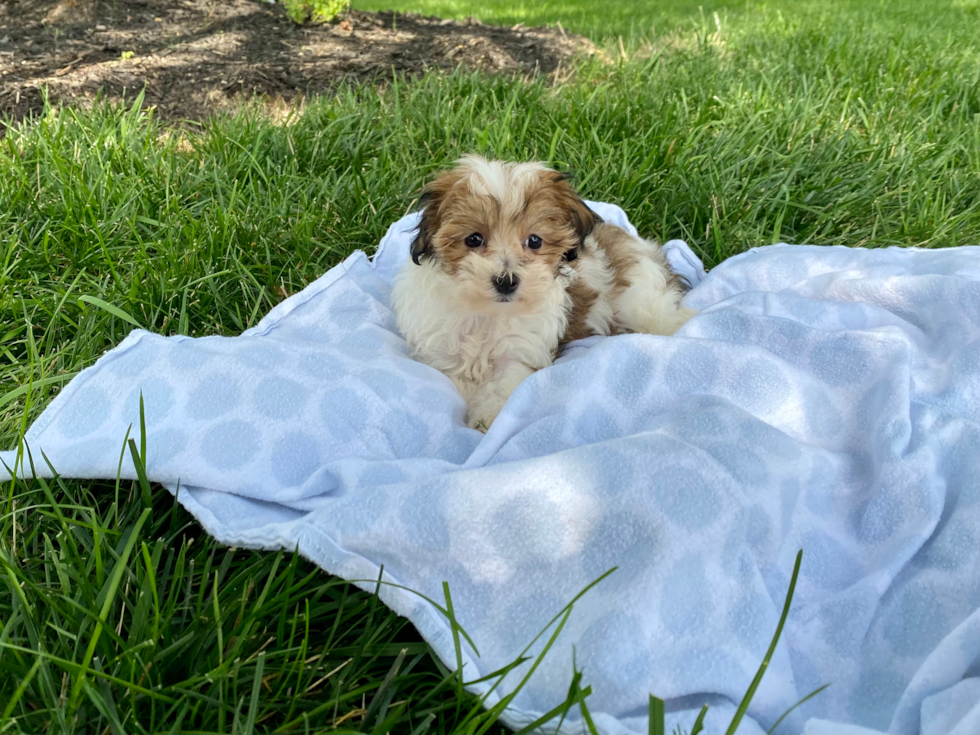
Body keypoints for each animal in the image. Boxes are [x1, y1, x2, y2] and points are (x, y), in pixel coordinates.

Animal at [390, 155, 696, 432]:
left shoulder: (522, 348)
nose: (506, 281)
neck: (488, 313)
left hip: (642, 302)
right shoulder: (440, 348)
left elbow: (503, 383)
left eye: (534, 241)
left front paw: (486, 420)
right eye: (473, 239)